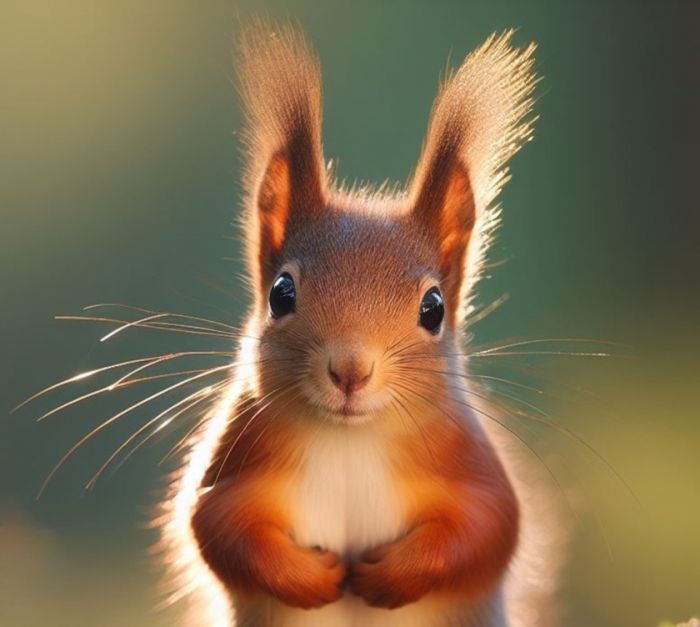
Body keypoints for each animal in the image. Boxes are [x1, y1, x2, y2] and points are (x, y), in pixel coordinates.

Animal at [160, 22, 563, 627]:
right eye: (281, 294)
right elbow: (214, 525)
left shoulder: (470, 460)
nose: (350, 370)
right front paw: (314, 579)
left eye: (434, 308)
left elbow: (489, 527)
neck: (351, 439)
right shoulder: (239, 452)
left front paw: (387, 576)